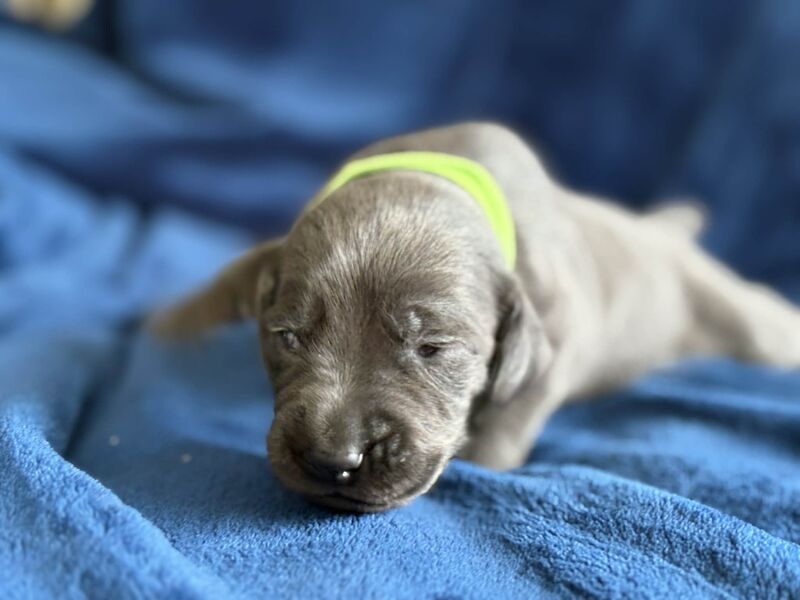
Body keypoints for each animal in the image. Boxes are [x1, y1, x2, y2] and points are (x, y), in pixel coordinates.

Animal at [152, 122, 800, 512]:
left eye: (433, 348)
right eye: (286, 337)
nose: (334, 461)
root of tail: (662, 235)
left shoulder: (555, 343)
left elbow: (509, 422)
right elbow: (227, 281)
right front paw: (167, 322)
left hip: (735, 314)